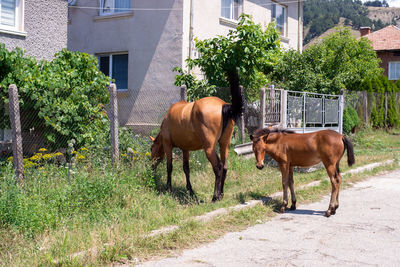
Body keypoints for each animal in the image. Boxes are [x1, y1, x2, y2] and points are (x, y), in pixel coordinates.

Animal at [151, 69, 242, 203]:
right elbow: (186, 168)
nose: (151, 167)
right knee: (225, 167)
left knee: (218, 167)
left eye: (151, 148)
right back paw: (221, 194)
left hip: (209, 148)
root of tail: (224, 105)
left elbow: (169, 166)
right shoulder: (185, 149)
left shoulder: (168, 145)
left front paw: (168, 188)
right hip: (224, 144)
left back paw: (215, 197)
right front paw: (190, 190)